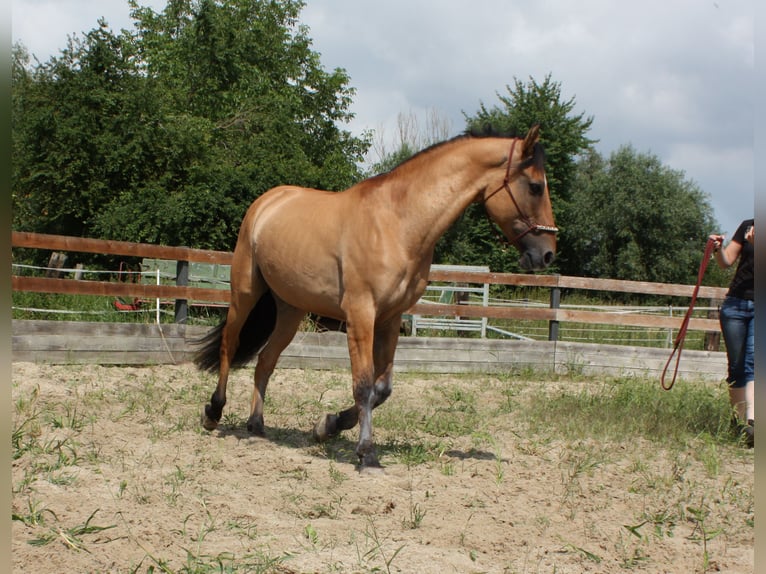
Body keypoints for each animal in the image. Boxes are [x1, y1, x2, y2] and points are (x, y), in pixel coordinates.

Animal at [194, 124, 560, 470]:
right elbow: (363, 385)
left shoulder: (390, 318)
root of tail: (268, 201)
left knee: (266, 361)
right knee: (229, 344)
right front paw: (367, 454)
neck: (398, 222)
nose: (547, 255)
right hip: (245, 292)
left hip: (290, 309)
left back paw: (256, 426)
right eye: (535, 186)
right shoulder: (361, 315)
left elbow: (381, 389)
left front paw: (327, 426)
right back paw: (213, 413)